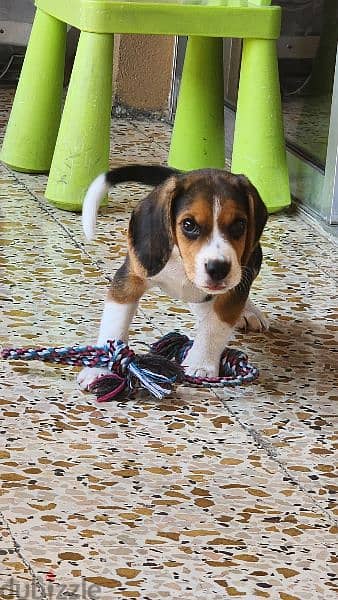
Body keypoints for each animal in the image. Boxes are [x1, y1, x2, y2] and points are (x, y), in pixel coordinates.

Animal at [78, 165, 268, 390]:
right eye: (188, 224)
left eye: (239, 225)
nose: (218, 268)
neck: (183, 265)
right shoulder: (129, 280)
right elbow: (114, 325)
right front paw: (102, 368)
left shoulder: (232, 289)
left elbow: (215, 326)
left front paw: (200, 364)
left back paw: (248, 311)